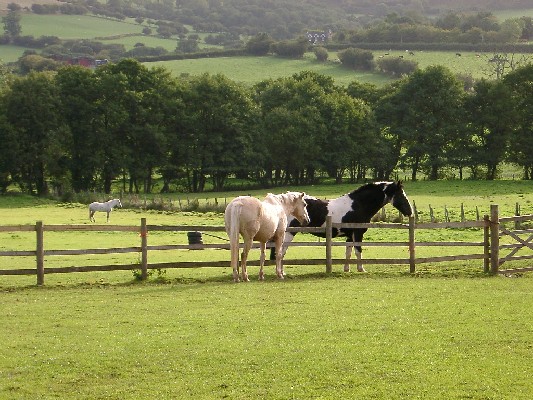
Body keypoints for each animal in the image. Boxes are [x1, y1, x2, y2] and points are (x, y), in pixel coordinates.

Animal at [270, 183, 412, 274]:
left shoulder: (350, 235)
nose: (410, 212)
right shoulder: (358, 233)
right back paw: (281, 272)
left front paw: (346, 269)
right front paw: (361, 269)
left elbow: (348, 252)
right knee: (281, 252)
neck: (358, 205)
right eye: (401, 195)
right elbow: (358, 251)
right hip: (289, 234)